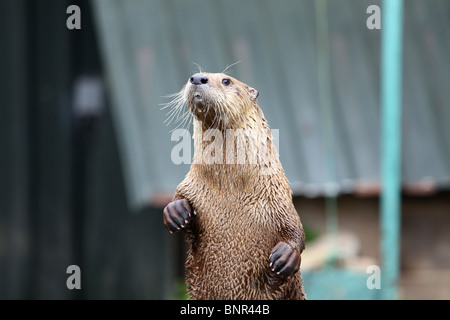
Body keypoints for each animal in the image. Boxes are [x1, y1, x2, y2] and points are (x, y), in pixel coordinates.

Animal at [162, 71, 306, 298]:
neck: (231, 191)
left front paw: (286, 256)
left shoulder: (277, 199)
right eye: (195, 76)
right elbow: (179, 196)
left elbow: (295, 229)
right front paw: (176, 212)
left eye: (226, 80)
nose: (197, 77)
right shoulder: (191, 186)